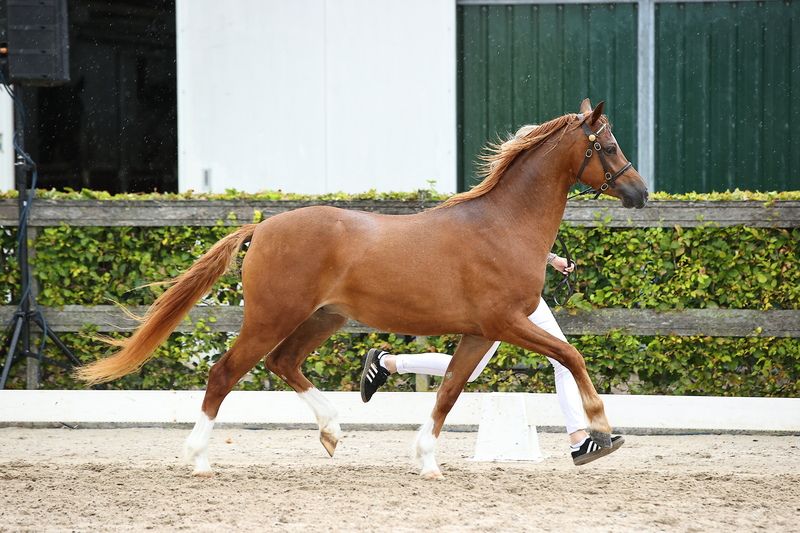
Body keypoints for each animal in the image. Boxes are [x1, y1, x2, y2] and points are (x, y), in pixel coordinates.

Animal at [77, 99, 648, 479]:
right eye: (609, 145)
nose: (640, 193)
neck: (503, 225)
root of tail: (262, 229)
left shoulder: (482, 333)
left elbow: (449, 390)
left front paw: (427, 462)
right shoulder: (505, 322)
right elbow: (571, 356)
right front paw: (601, 431)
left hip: (322, 318)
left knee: (283, 363)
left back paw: (334, 430)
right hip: (271, 317)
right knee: (224, 373)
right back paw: (198, 459)